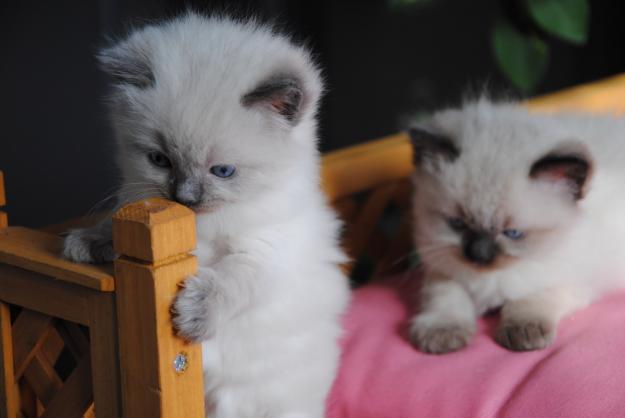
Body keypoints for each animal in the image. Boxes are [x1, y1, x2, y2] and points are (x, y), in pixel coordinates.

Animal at [64, 13, 352, 418]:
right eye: (160, 160)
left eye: (223, 171)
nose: (184, 198)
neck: (203, 224)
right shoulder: (137, 195)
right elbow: (114, 221)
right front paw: (88, 242)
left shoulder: (266, 251)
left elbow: (228, 279)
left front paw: (192, 315)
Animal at [408, 98, 624, 352]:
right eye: (458, 223)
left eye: (513, 233)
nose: (478, 255)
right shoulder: (442, 269)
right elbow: (446, 298)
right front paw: (443, 333)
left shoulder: (571, 281)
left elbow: (530, 299)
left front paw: (524, 332)